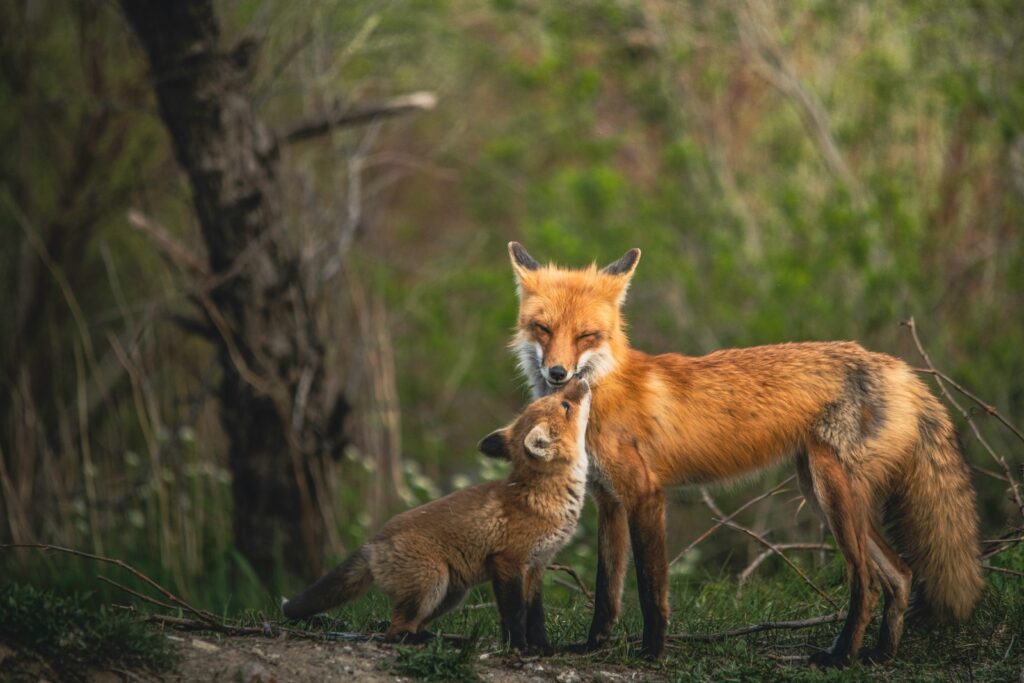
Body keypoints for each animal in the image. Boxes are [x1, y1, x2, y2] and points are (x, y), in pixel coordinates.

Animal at [283, 378, 593, 652]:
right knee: (394, 631)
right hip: (432, 582)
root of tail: (372, 542)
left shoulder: (537, 566)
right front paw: (518, 648)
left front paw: (543, 648)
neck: (542, 497)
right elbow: (514, 615)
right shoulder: (508, 563)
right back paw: (422, 642)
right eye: (565, 404)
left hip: (450, 595)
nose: (578, 378)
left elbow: (535, 617)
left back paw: (446, 640)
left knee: (410, 624)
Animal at [504, 242, 982, 666]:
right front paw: (593, 647)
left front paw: (652, 652)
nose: (558, 373)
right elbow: (607, 590)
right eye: (543, 328)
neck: (600, 394)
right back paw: (881, 656)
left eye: (586, 335)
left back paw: (840, 657)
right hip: (824, 494)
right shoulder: (609, 500)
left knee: (866, 583)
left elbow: (650, 586)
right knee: (901, 574)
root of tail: (899, 368)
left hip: (833, 495)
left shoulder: (645, 495)